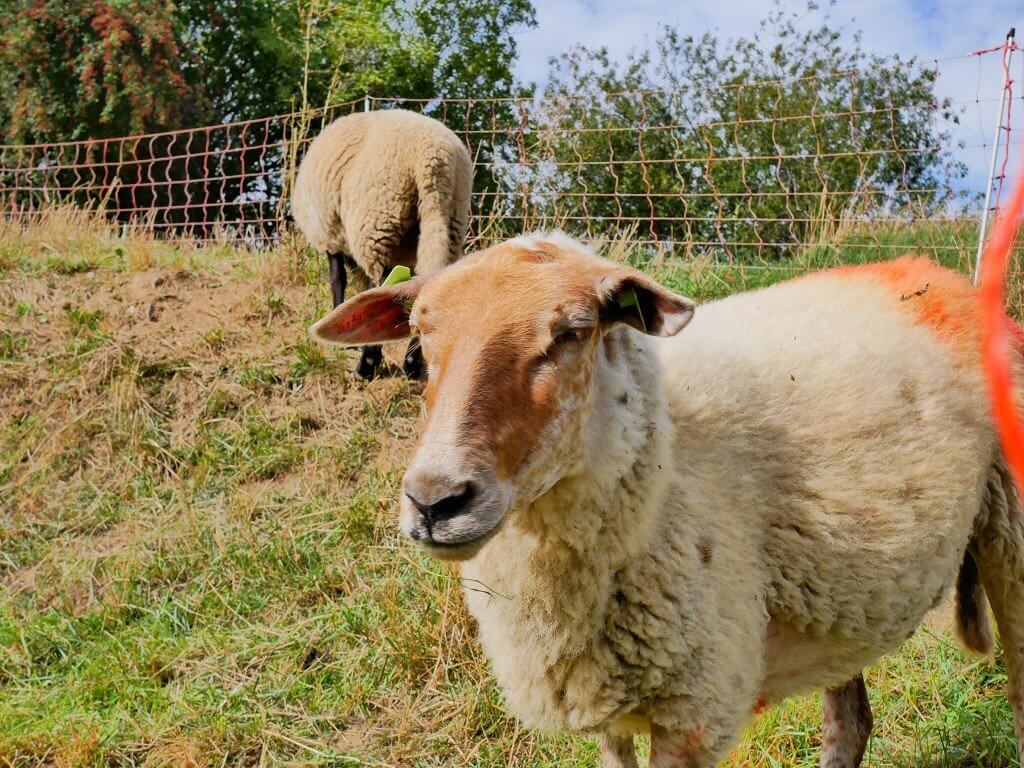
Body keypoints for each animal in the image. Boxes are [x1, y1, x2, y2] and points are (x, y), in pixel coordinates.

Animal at [294, 109, 473, 380]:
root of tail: (432, 157)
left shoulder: (329, 234)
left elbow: (337, 278)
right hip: (449, 218)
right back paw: (412, 362)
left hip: (377, 220)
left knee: (378, 286)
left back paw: (368, 362)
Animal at [307, 231, 1024, 765]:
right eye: (419, 344)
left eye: (571, 333)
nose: (435, 501)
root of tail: (936, 273)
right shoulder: (603, 701)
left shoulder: (694, 711)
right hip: (845, 593)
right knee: (850, 724)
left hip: (1010, 534)